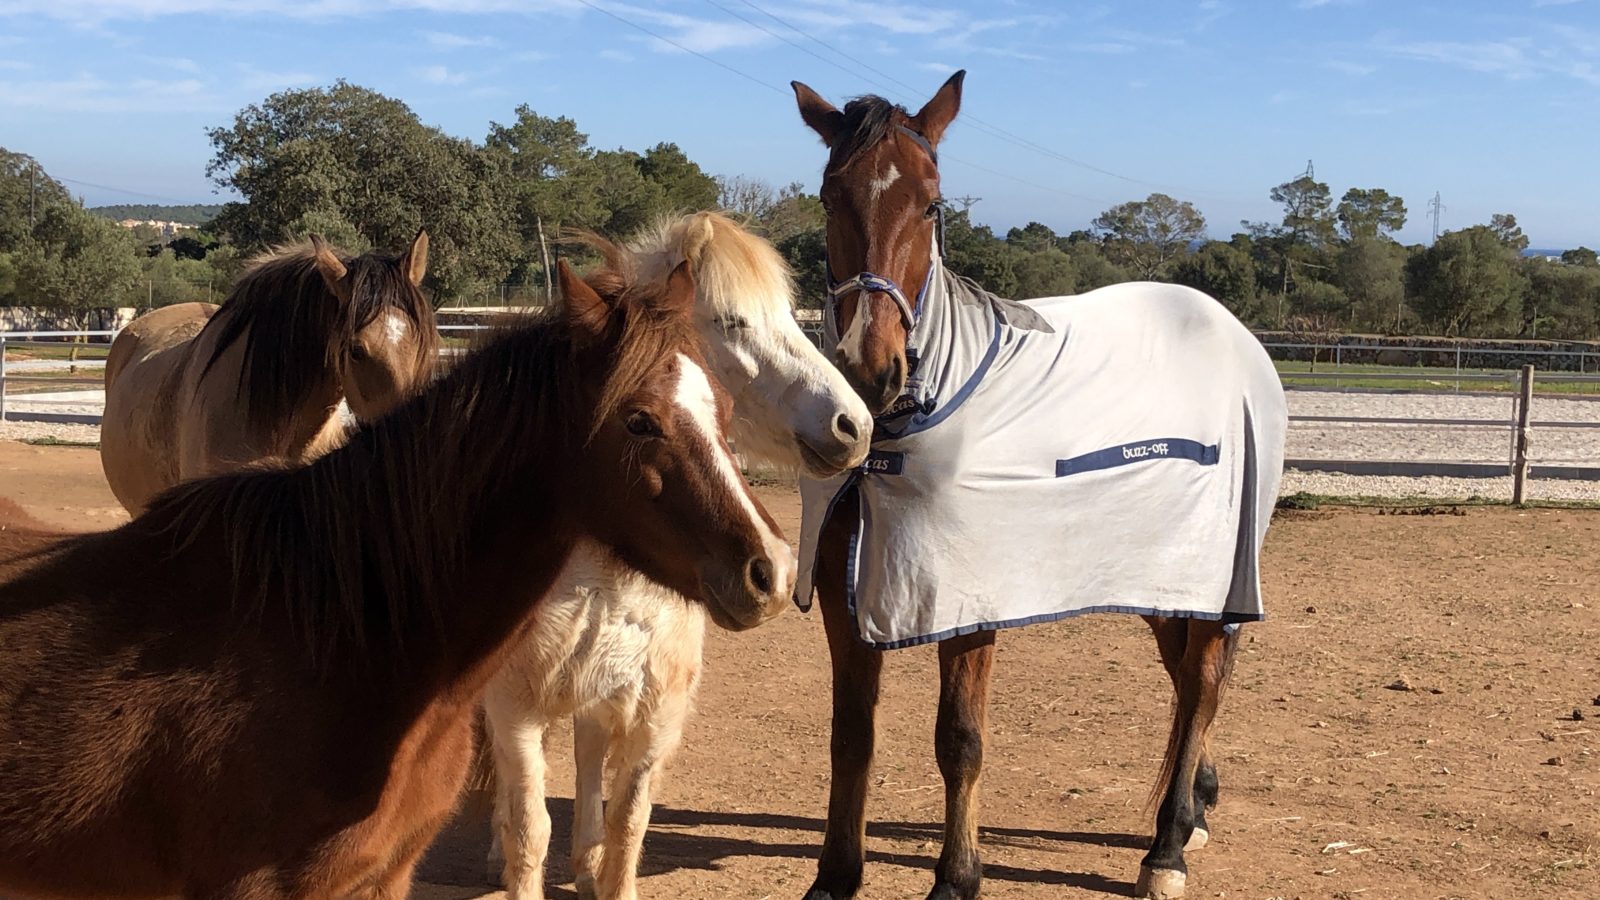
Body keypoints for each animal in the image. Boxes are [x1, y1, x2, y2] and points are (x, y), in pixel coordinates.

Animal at [480, 211, 870, 896]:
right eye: (734, 321)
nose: (854, 426)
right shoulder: (516, 708)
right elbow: (529, 831)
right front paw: (512, 851)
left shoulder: (656, 713)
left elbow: (626, 822)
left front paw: (600, 870)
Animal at [787, 71, 1286, 896]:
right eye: (830, 195)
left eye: (933, 204)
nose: (869, 368)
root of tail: (1234, 332)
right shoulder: (841, 590)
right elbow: (850, 734)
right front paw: (834, 876)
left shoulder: (968, 600)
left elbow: (959, 739)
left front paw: (957, 877)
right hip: (1157, 572)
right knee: (1185, 678)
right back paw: (1194, 808)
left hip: (1217, 570)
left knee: (1205, 680)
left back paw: (1167, 850)